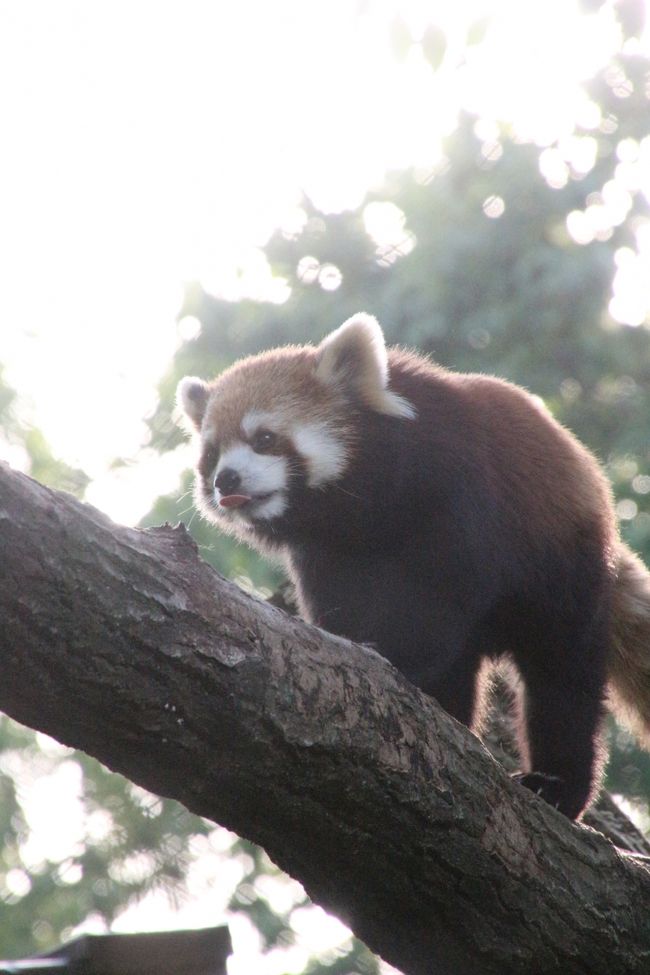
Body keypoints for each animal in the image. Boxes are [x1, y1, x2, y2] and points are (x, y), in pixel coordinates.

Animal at [177, 314, 648, 824]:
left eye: (264, 438)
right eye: (212, 454)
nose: (226, 480)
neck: (360, 508)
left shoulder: (458, 491)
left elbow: (442, 601)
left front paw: (399, 658)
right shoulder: (327, 551)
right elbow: (341, 607)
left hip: (564, 565)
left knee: (561, 676)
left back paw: (557, 785)